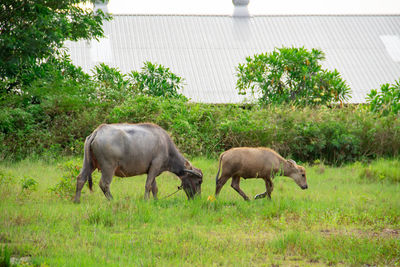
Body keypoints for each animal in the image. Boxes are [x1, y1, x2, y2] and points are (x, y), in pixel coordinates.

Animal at [73, 123, 202, 203]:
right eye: (198, 181)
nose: (197, 198)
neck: (166, 147)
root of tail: (97, 131)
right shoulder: (155, 166)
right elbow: (148, 185)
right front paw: (146, 200)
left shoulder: (152, 170)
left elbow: (154, 188)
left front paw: (155, 201)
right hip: (108, 167)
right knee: (104, 184)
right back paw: (112, 200)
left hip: (89, 163)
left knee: (81, 179)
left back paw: (77, 201)